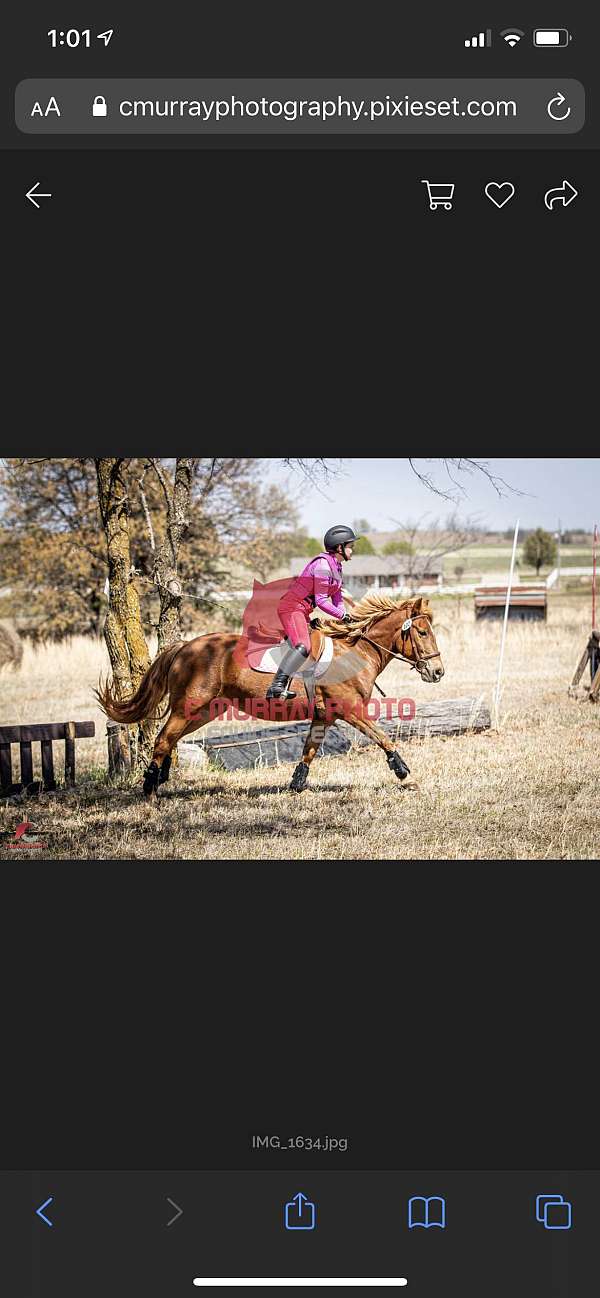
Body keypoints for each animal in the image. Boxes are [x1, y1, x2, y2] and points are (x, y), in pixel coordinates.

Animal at [96, 594, 444, 794]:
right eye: (422, 632)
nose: (438, 672)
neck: (354, 652)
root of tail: (185, 646)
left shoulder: (325, 716)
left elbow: (308, 751)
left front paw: (296, 785)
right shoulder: (350, 711)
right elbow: (383, 737)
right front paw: (404, 774)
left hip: (205, 710)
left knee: (172, 739)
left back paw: (159, 779)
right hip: (188, 706)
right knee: (163, 739)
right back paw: (150, 788)